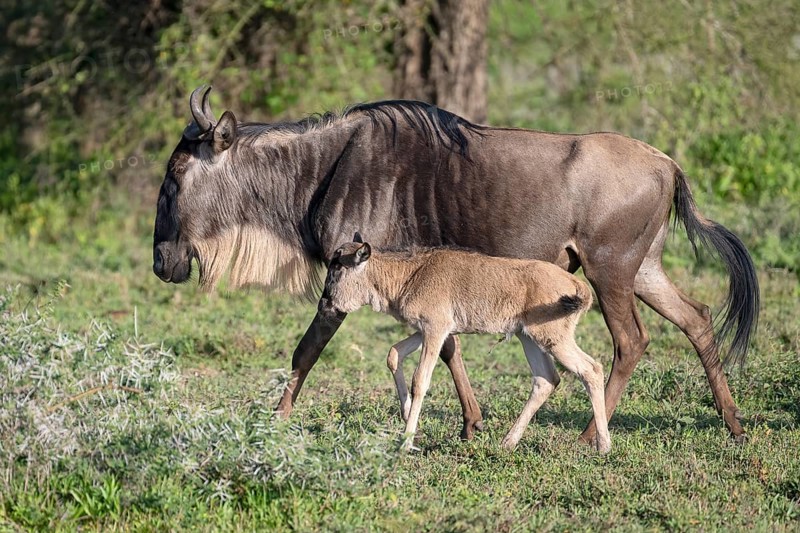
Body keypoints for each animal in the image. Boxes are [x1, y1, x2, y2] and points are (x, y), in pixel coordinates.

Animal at [317, 237, 611, 453]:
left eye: (338, 267)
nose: (326, 304)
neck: (411, 274)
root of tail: (577, 284)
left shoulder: (435, 329)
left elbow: (420, 379)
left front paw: (406, 441)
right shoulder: (430, 330)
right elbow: (393, 354)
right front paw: (406, 414)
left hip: (553, 338)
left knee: (591, 370)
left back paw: (603, 446)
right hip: (527, 337)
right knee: (546, 379)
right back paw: (508, 442)